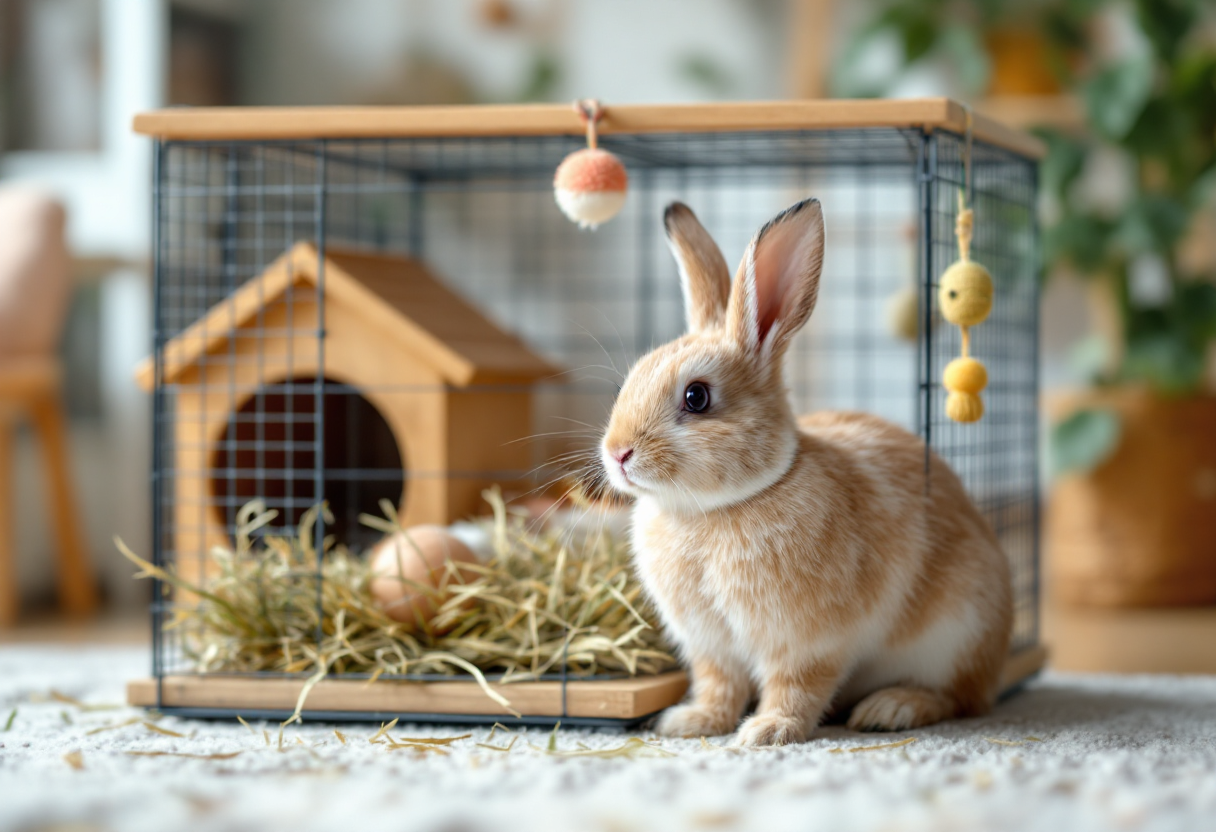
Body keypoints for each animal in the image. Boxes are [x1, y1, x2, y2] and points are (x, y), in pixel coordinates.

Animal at [600, 198, 1016, 744]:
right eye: (628, 381)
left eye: (696, 397)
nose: (617, 453)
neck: (718, 508)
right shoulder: (711, 646)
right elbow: (718, 685)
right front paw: (691, 722)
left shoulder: (807, 642)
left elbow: (795, 686)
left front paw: (768, 731)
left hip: (956, 634)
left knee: (960, 698)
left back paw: (890, 709)